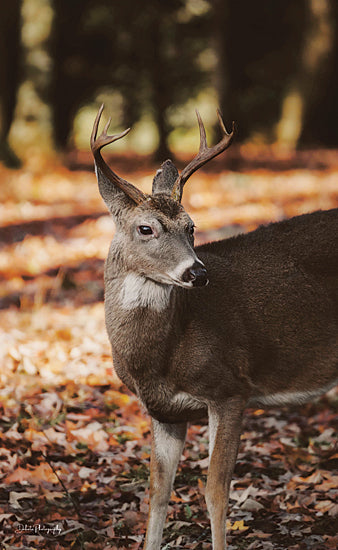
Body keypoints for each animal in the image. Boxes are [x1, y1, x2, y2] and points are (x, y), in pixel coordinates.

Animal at [90, 104, 338, 550]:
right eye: (146, 228)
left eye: (192, 227)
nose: (198, 273)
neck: (160, 358)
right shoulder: (164, 411)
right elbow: (158, 491)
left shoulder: (230, 388)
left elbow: (215, 492)